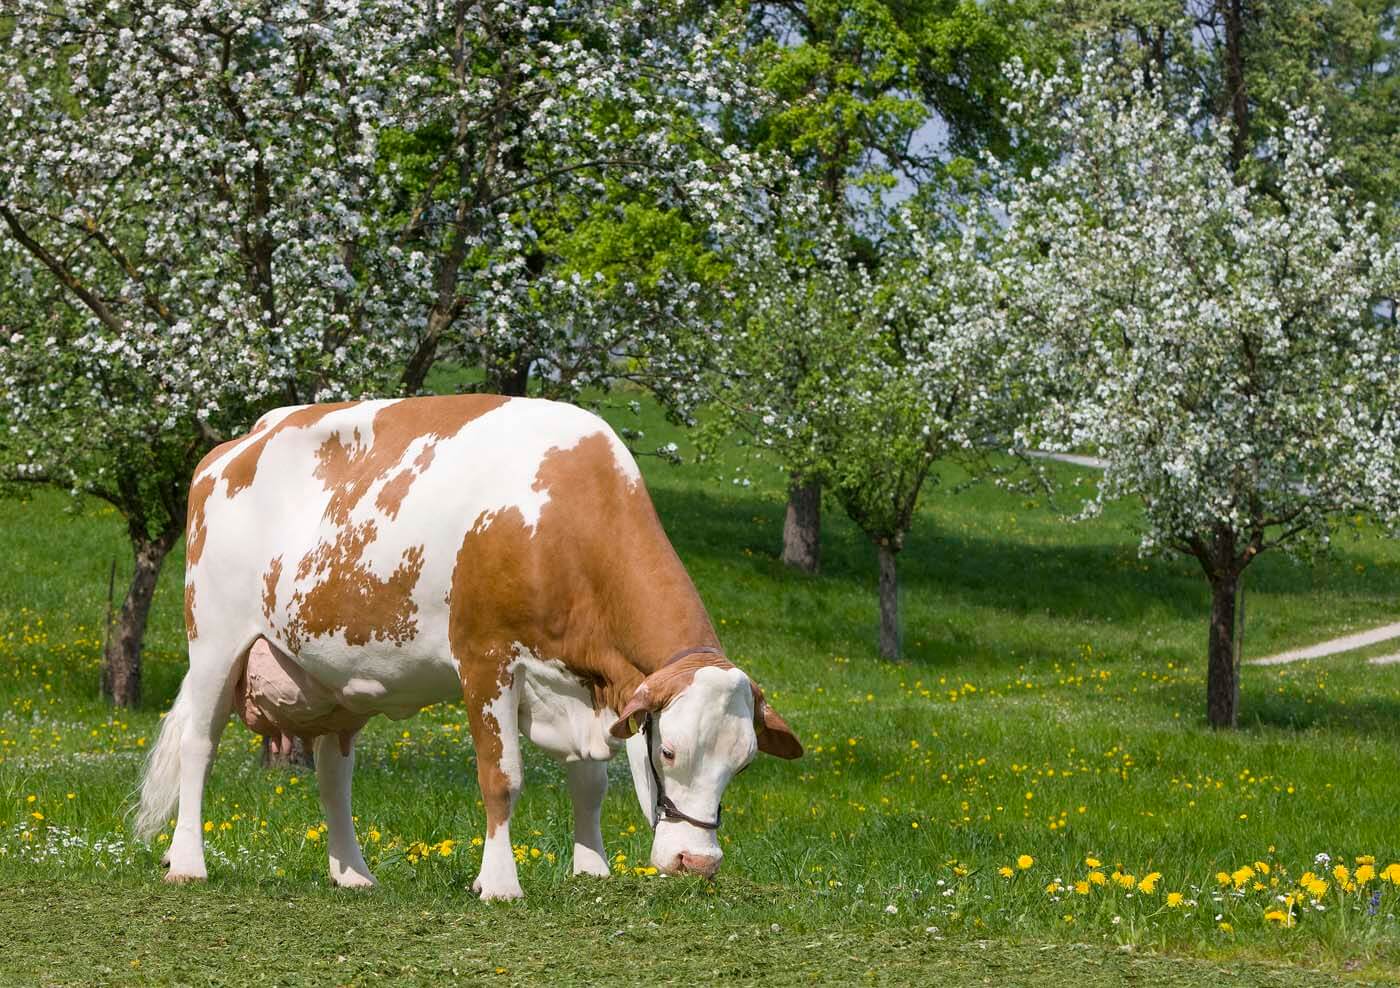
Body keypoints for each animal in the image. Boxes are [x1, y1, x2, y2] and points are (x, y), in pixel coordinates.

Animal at [139, 391, 812, 895]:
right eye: (668, 751)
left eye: (744, 762)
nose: (697, 863)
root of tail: (236, 444)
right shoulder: (486, 660)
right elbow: (502, 776)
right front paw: (500, 883)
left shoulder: (581, 683)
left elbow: (589, 782)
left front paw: (590, 869)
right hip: (214, 640)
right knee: (199, 745)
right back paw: (188, 862)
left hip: (335, 676)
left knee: (334, 773)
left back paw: (352, 873)